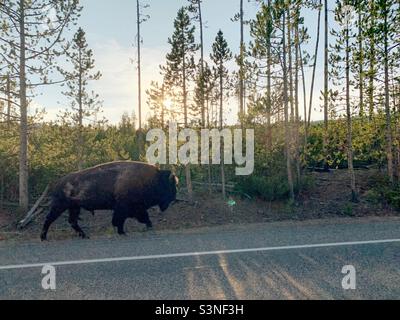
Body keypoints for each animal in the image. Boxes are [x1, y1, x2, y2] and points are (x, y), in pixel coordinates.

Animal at [40, 162, 178, 240]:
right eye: (170, 185)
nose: (173, 198)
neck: (152, 179)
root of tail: (58, 182)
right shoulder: (125, 208)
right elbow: (121, 220)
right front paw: (123, 232)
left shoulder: (134, 209)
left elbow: (138, 218)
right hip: (60, 206)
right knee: (49, 219)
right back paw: (43, 237)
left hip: (74, 207)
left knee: (72, 221)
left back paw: (85, 236)